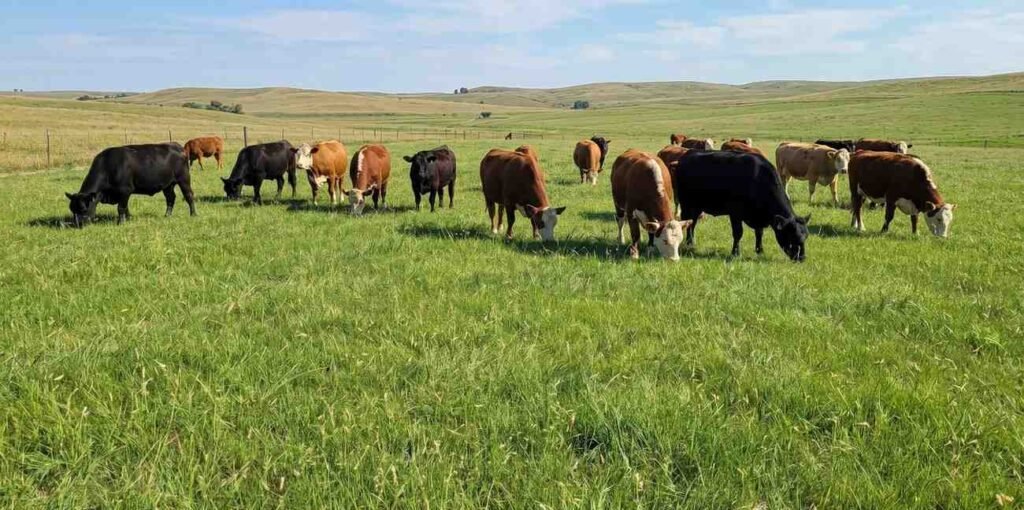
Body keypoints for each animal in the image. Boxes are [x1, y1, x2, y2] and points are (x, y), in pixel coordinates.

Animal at [66, 143, 195, 227]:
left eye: (83, 209)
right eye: (72, 209)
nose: (77, 224)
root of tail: (177, 145)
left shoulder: (125, 190)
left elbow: (121, 208)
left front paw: (121, 223)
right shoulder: (121, 194)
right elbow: (125, 207)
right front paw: (128, 219)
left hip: (184, 179)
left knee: (189, 196)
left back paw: (193, 214)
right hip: (168, 185)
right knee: (170, 198)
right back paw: (167, 215)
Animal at [673, 151, 809, 261]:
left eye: (805, 237)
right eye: (792, 236)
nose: (802, 258)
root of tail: (686, 156)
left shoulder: (758, 216)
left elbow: (759, 233)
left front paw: (760, 250)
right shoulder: (735, 213)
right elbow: (738, 233)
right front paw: (735, 253)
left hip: (697, 206)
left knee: (693, 223)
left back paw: (691, 243)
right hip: (686, 204)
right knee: (688, 222)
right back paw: (688, 244)